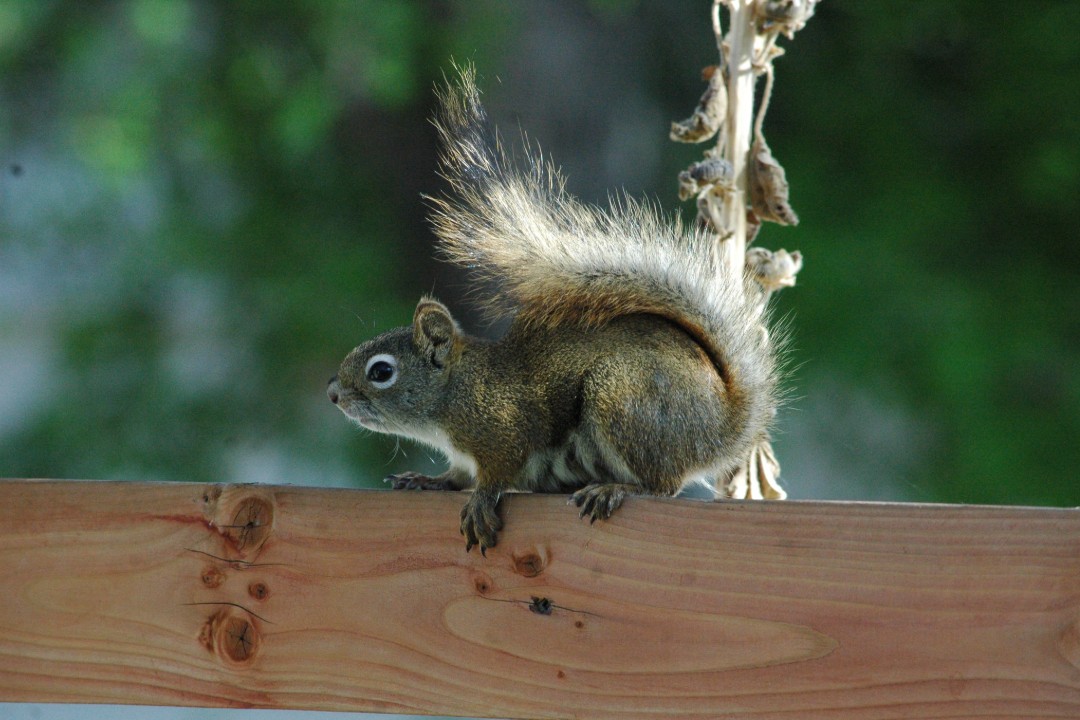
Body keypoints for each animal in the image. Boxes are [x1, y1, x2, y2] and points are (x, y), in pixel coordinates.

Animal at [327, 65, 780, 554]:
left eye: (381, 371)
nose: (333, 394)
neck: (458, 391)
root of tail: (720, 426)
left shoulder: (505, 428)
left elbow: (497, 473)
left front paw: (480, 502)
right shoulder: (467, 455)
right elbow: (459, 475)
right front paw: (429, 480)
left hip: (623, 397)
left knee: (664, 485)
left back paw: (615, 488)